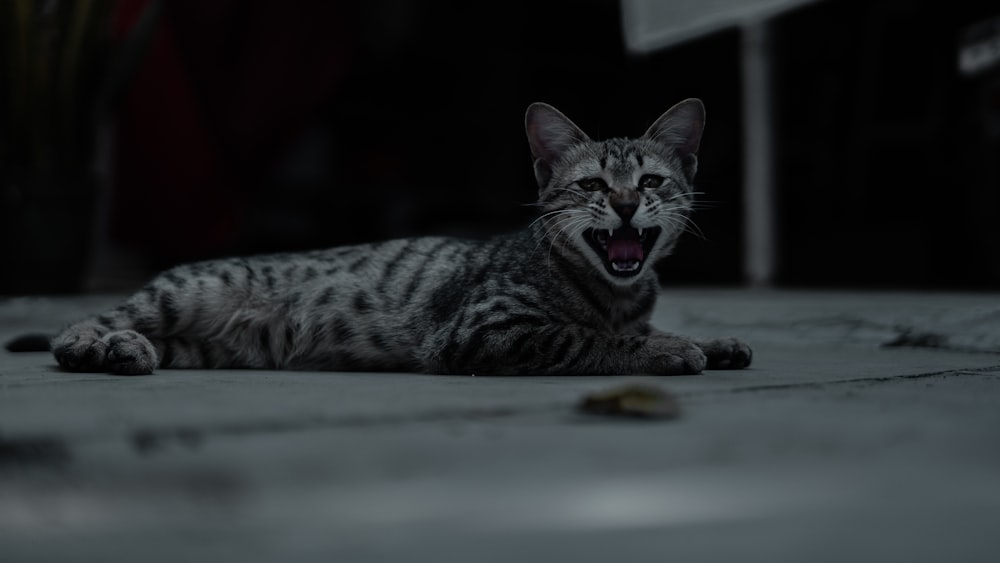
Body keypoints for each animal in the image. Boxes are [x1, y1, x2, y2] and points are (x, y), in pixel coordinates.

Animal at [48, 99, 752, 376]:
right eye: (593, 187)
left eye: (651, 181)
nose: (628, 204)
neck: (613, 294)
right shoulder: (484, 331)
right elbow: (586, 340)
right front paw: (666, 351)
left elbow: (636, 329)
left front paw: (709, 341)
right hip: (186, 294)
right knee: (85, 324)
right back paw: (92, 344)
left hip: (214, 347)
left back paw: (124, 353)